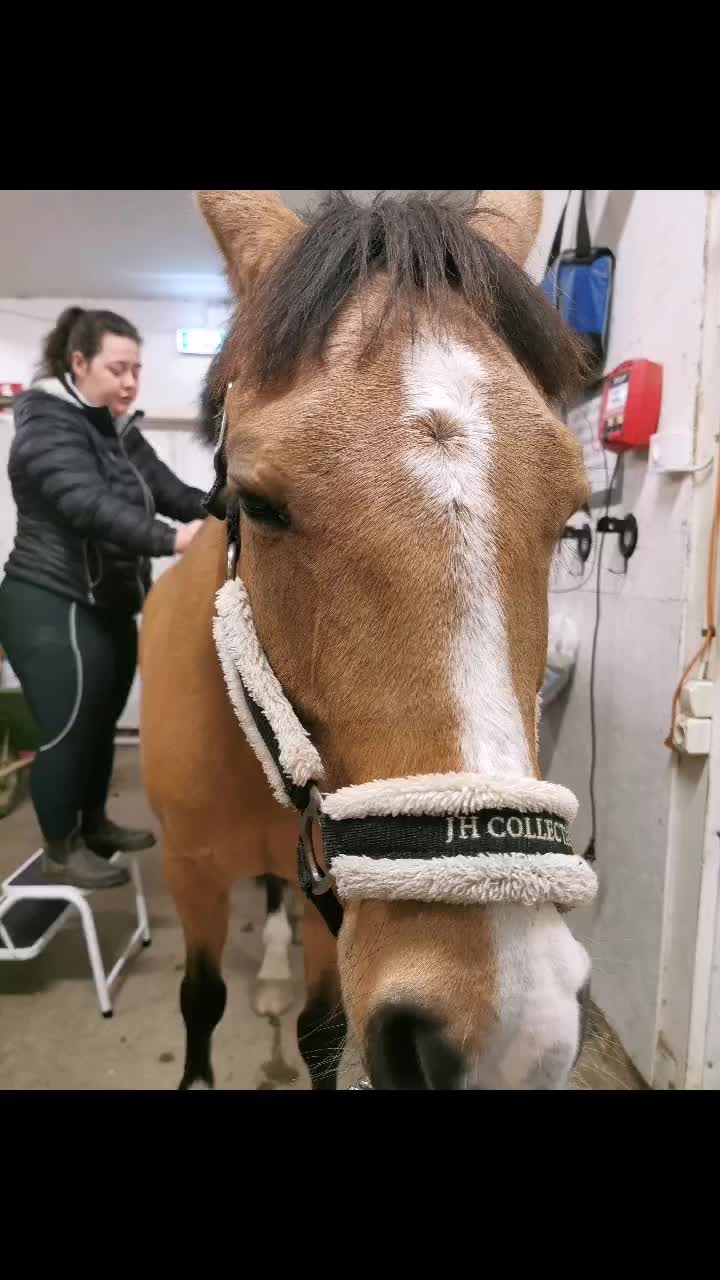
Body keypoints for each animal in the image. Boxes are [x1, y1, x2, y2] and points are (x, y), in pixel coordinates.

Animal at [139, 189, 597, 1091]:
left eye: (571, 513)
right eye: (258, 503)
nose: (507, 1036)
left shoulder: (337, 908)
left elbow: (322, 1030)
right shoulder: (188, 873)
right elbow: (200, 1002)